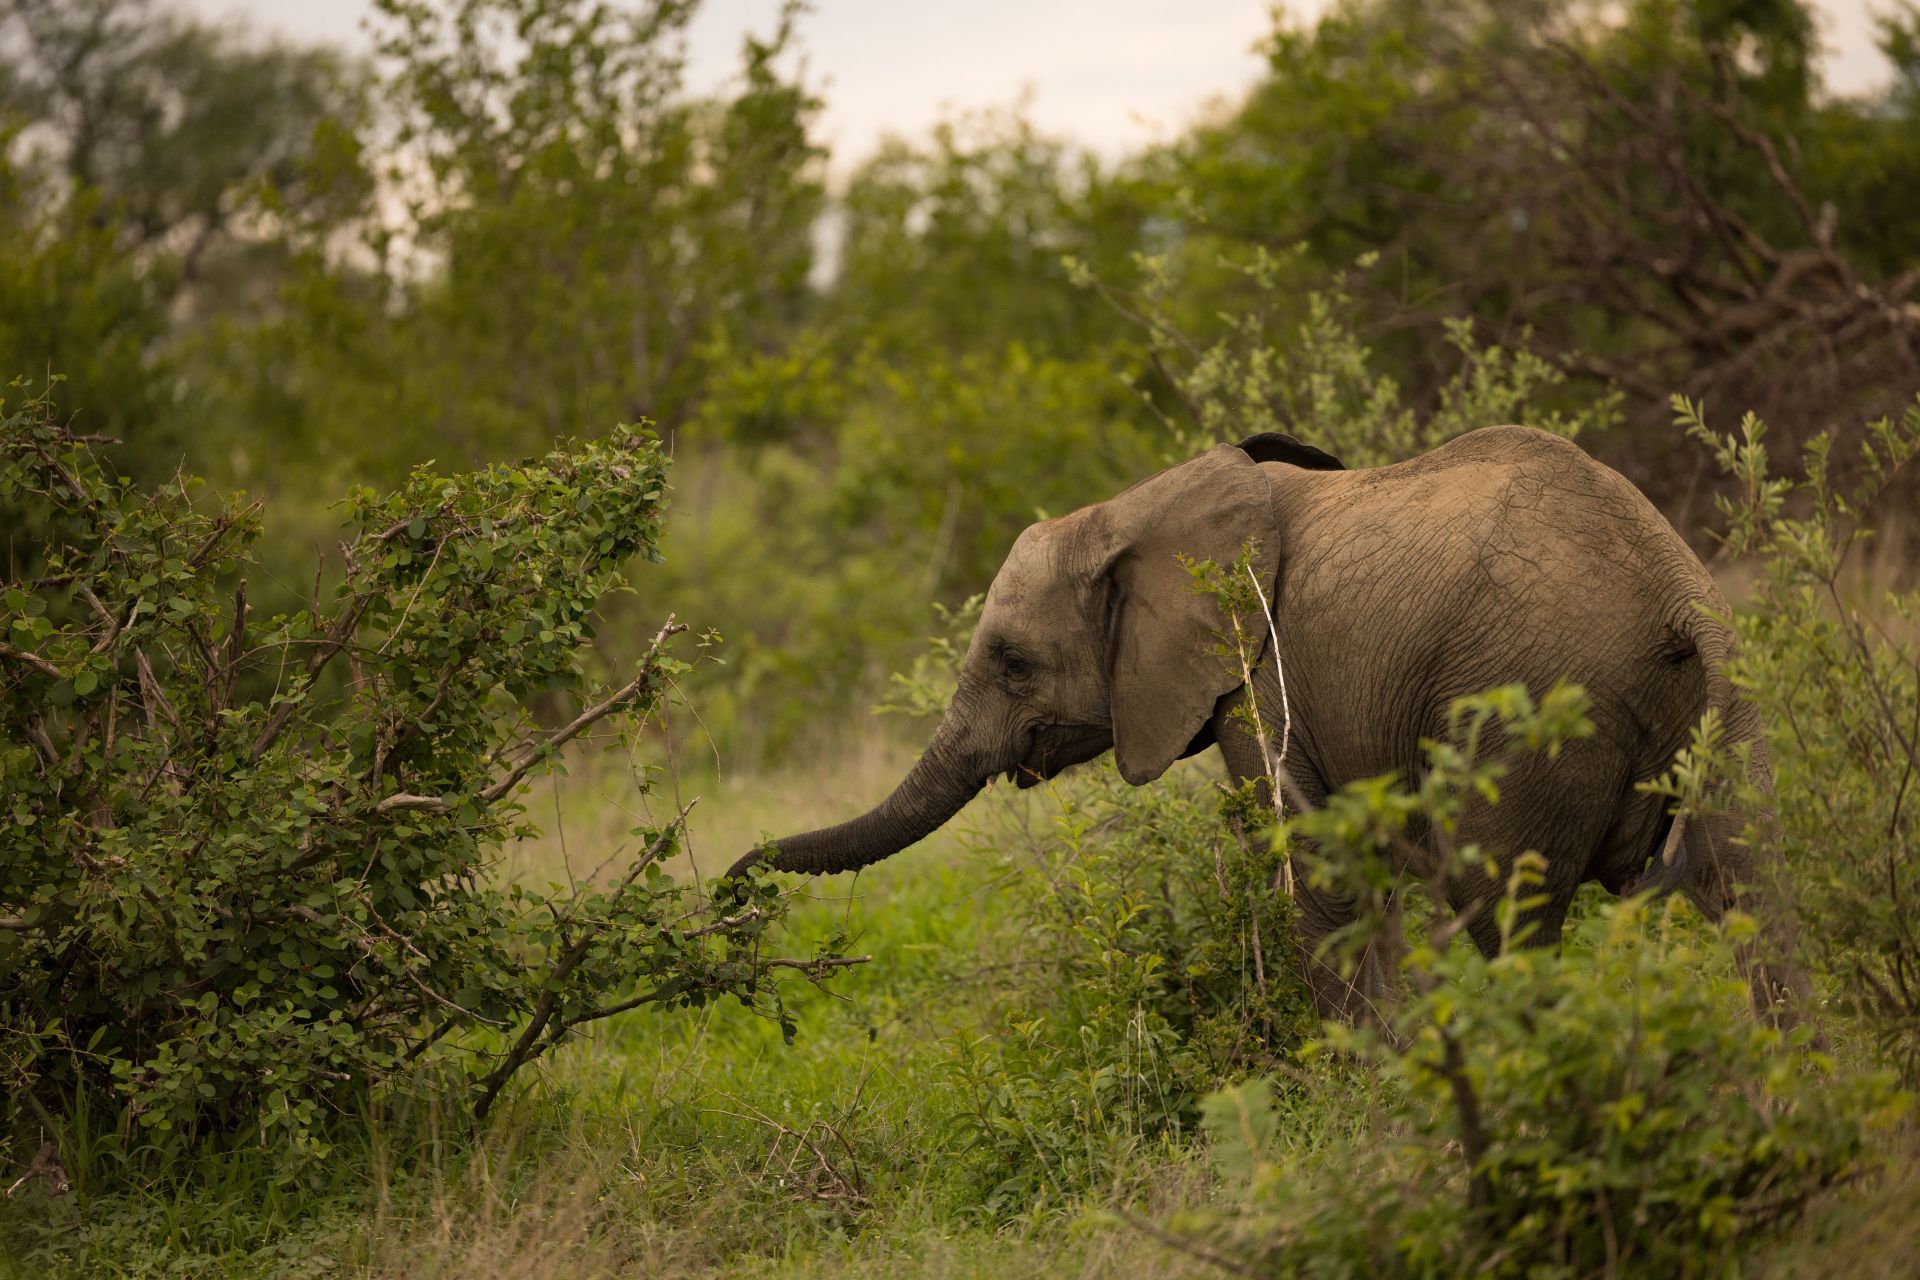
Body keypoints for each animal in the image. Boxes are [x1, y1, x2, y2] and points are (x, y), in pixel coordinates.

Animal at [725, 426, 1804, 1028]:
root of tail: (1674, 599)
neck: (1131, 508)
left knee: (1501, 909)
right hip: (1730, 711)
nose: (733, 891)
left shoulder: (1256, 676)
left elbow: (1314, 863)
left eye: (1012, 661)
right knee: (1751, 890)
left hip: (1531, 714)